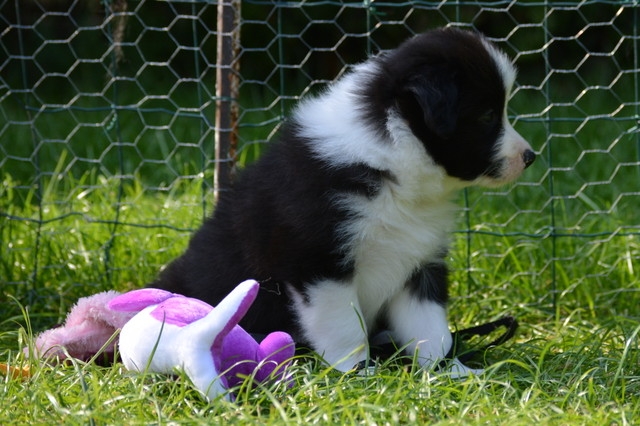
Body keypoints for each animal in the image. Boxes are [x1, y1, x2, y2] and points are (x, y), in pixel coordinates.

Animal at [150, 28, 535, 373]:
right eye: (487, 116)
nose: (530, 156)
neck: (389, 165)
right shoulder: (317, 261)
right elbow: (343, 325)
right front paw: (358, 371)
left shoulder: (420, 261)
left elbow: (430, 325)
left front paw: (448, 371)